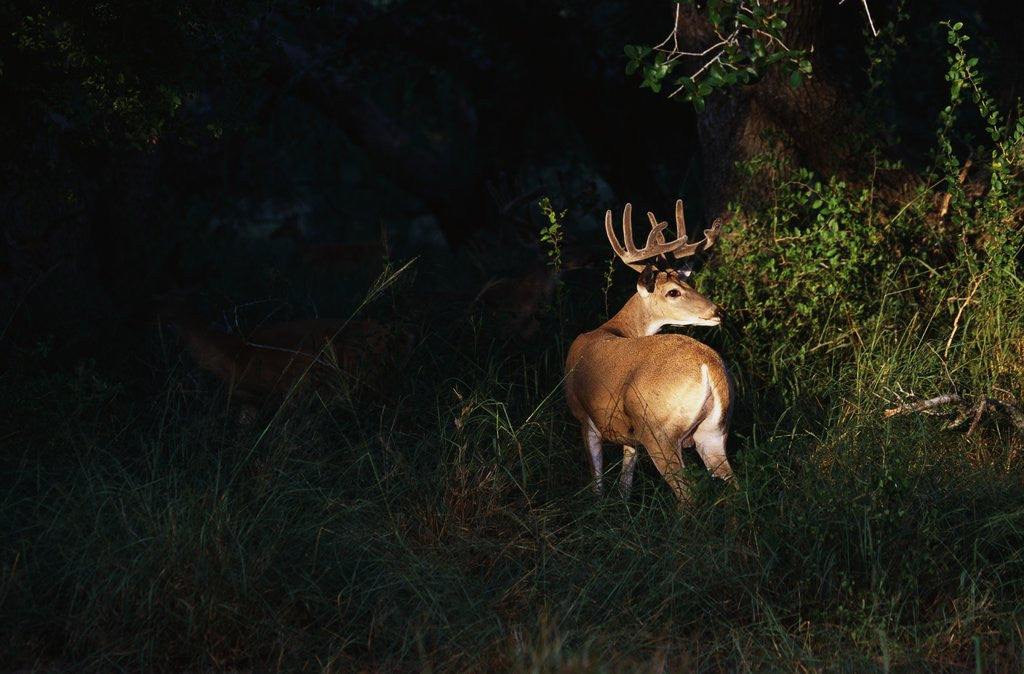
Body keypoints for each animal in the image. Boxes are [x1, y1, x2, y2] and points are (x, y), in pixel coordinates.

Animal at [565, 200, 734, 503]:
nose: (719, 311)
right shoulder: (628, 433)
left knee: (688, 495)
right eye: (674, 291)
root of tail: (710, 366)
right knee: (735, 484)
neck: (616, 328)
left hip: (660, 432)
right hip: (713, 432)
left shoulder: (584, 417)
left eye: (689, 284)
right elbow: (626, 479)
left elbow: (597, 480)